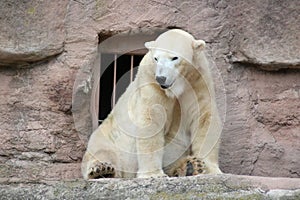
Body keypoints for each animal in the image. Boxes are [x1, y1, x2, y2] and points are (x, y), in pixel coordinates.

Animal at [81, 28, 221, 178]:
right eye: (156, 58)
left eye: (174, 58)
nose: (161, 78)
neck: (175, 87)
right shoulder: (150, 81)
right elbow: (151, 120)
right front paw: (153, 174)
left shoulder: (198, 81)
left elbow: (204, 119)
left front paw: (210, 169)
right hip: (108, 138)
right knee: (102, 152)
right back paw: (102, 170)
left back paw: (191, 166)